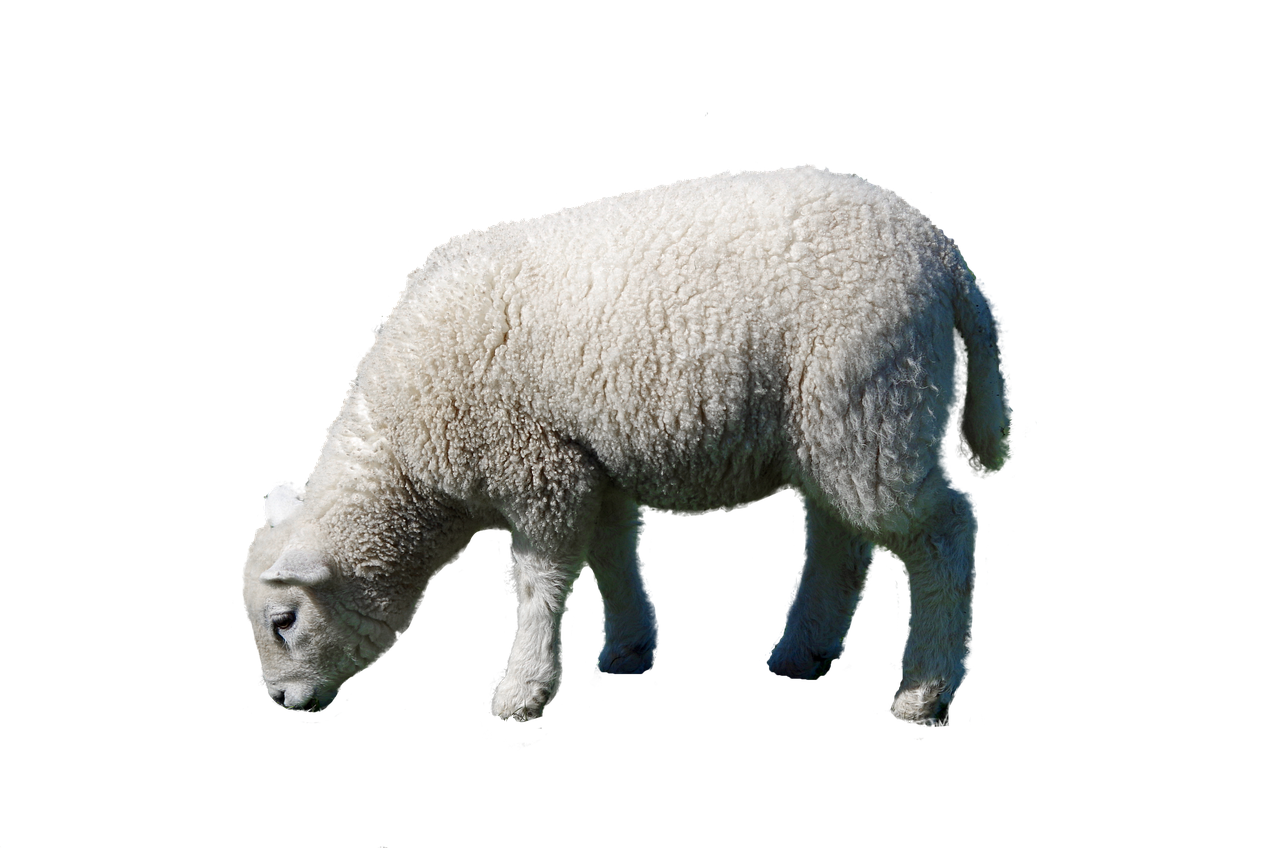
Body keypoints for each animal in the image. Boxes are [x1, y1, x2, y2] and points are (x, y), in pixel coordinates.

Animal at [240, 164, 1013, 726]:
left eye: (284, 621)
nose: (279, 702)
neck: (408, 456)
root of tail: (942, 255)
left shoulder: (537, 464)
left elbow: (542, 581)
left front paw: (523, 690)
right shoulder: (590, 464)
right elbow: (611, 556)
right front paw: (628, 648)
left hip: (872, 404)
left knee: (946, 530)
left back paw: (924, 692)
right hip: (836, 425)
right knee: (841, 539)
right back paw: (804, 652)